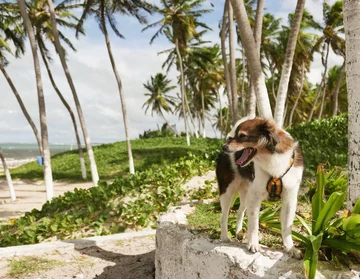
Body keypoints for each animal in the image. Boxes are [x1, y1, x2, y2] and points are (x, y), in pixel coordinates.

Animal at [217, 116, 304, 260]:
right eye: (235, 136)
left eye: (242, 136)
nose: (224, 147)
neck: (272, 158)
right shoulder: (255, 196)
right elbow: (254, 223)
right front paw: (253, 243)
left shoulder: (289, 198)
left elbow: (287, 227)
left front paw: (290, 248)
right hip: (227, 191)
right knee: (224, 215)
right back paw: (224, 237)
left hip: (246, 193)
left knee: (240, 211)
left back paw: (239, 232)